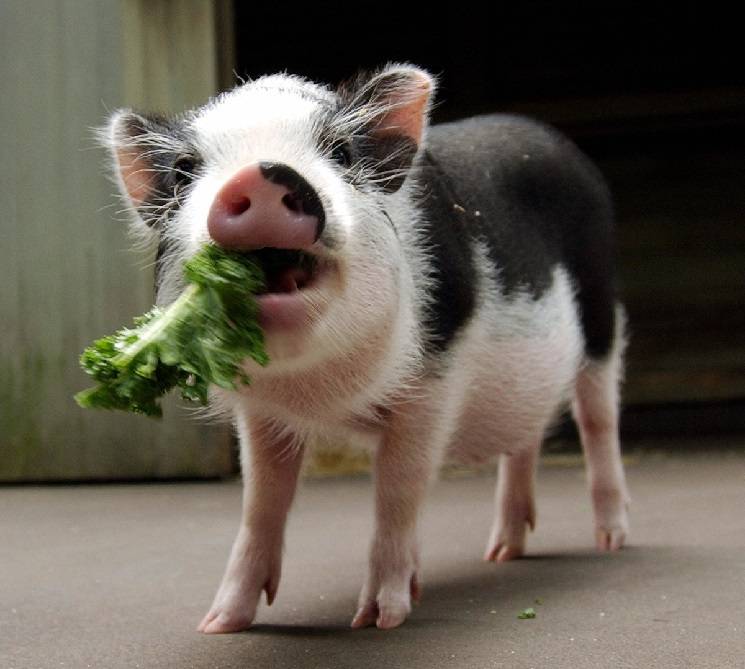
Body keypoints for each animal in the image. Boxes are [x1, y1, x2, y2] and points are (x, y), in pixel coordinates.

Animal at [104, 64, 630, 633]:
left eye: (341, 152)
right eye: (183, 171)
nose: (261, 174)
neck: (320, 392)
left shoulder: (433, 383)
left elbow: (398, 491)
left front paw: (379, 619)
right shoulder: (263, 414)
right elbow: (262, 501)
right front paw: (218, 624)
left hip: (603, 307)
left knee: (598, 419)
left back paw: (611, 542)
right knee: (525, 436)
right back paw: (501, 553)